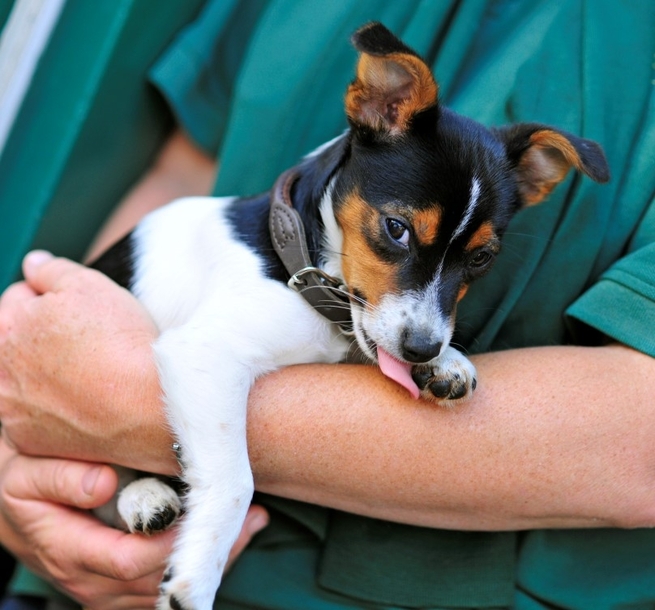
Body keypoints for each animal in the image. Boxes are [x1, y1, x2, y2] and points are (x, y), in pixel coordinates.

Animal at [91, 20, 608, 608]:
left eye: (481, 258)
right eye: (396, 228)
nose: (424, 348)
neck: (300, 268)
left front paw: (445, 363)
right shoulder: (204, 353)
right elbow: (234, 481)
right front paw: (196, 577)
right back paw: (142, 497)